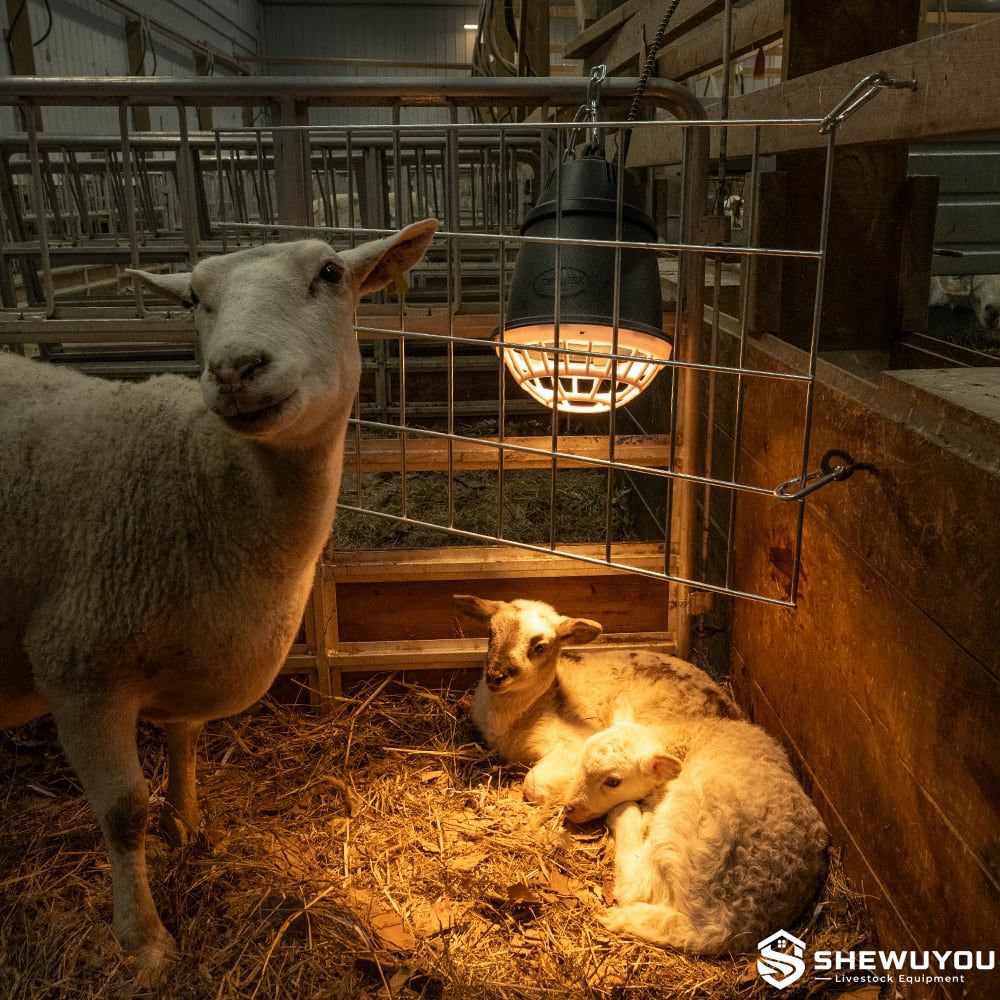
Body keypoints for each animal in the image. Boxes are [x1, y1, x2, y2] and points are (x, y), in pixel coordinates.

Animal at [0, 218, 438, 971]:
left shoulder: (189, 651)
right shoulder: (78, 666)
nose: (235, 369)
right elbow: (123, 812)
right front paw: (144, 940)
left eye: (330, 272)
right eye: (192, 299)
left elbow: (186, 740)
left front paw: (191, 825)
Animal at [562, 712, 829, 955]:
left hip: (684, 827)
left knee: (637, 887)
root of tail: (731, 921)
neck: (689, 737)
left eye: (613, 782)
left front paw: (641, 813)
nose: (569, 807)